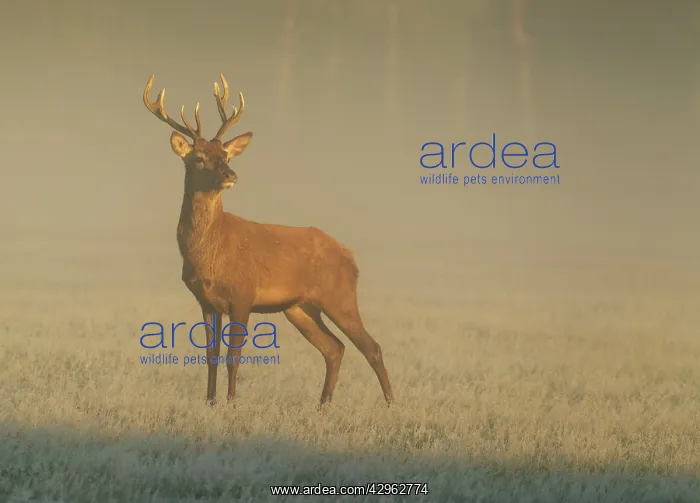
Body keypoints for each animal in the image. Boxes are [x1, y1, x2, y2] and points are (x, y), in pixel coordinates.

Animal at [142, 73, 394, 408]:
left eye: (224, 155)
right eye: (199, 158)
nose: (230, 174)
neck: (210, 254)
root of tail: (349, 256)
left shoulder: (243, 293)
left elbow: (233, 356)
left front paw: (231, 404)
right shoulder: (205, 301)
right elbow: (211, 355)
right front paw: (210, 403)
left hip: (339, 296)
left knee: (370, 346)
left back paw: (391, 404)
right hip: (299, 307)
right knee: (334, 347)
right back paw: (323, 406)